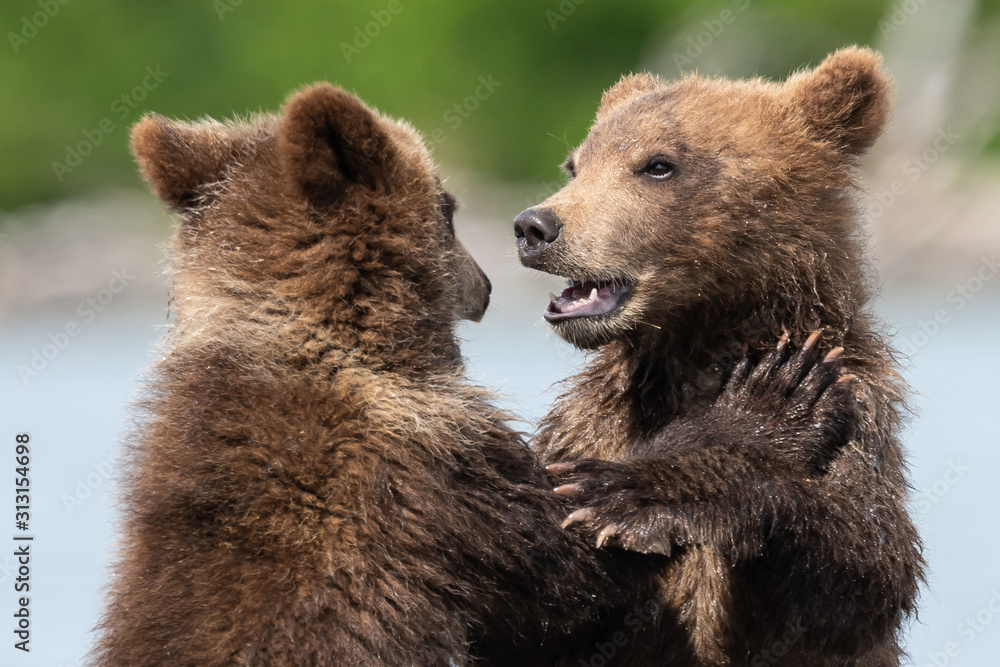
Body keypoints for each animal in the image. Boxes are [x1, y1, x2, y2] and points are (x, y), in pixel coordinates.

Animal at [513, 47, 923, 666]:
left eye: (658, 164)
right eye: (575, 165)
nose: (535, 226)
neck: (702, 338)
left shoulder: (856, 404)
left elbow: (867, 565)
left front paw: (641, 497)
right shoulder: (589, 425)